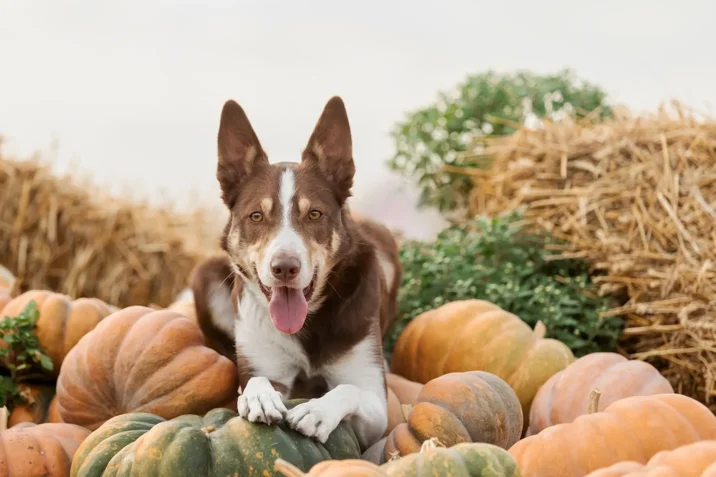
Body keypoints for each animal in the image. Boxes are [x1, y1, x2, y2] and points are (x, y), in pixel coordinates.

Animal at [189, 96, 402, 450]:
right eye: (256, 216)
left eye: (314, 214)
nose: (284, 267)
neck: (308, 325)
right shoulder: (263, 363)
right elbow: (255, 382)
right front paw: (259, 396)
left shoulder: (377, 413)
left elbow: (349, 389)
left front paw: (317, 411)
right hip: (203, 275)